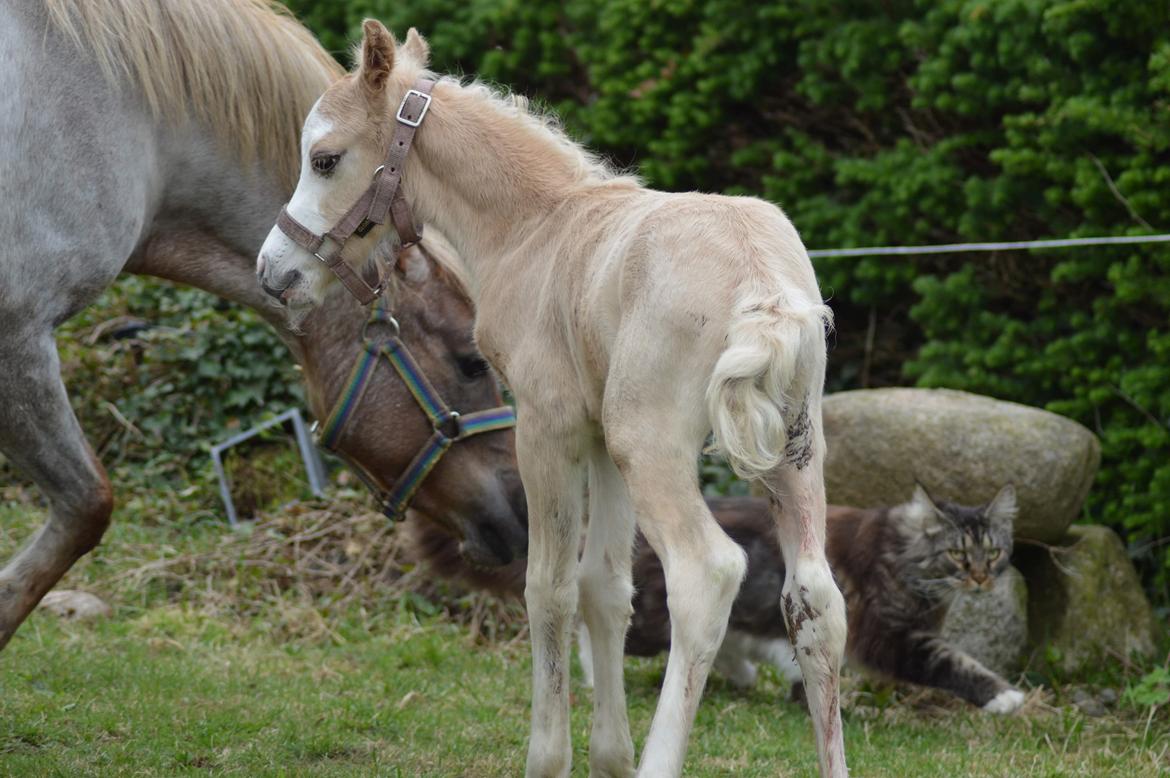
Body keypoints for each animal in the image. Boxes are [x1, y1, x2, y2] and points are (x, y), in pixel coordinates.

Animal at [256, 22, 847, 776]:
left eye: (324, 159)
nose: (274, 272)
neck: (533, 226)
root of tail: (761, 286)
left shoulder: (546, 428)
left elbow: (548, 588)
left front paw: (550, 756)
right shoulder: (596, 438)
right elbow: (606, 587)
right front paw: (609, 756)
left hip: (651, 445)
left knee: (706, 575)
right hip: (792, 454)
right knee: (814, 598)